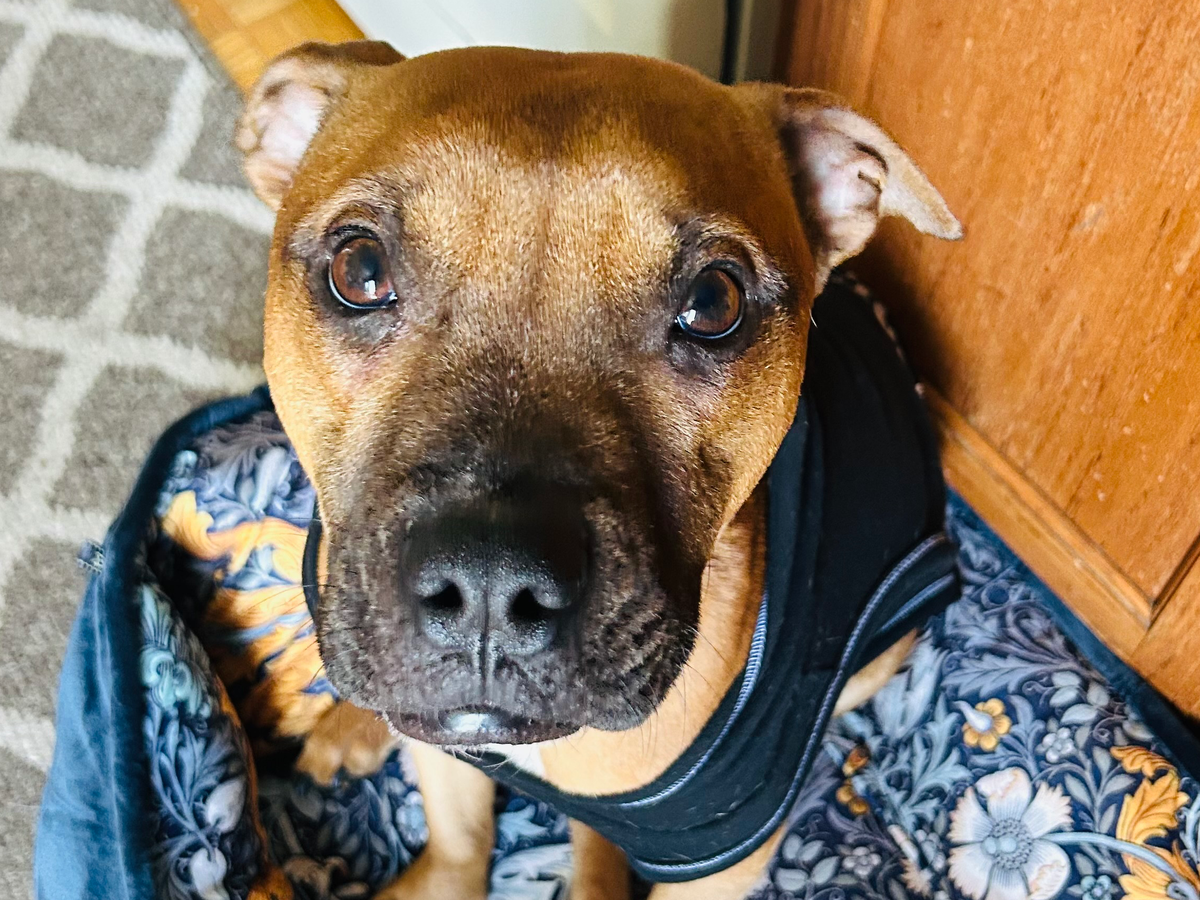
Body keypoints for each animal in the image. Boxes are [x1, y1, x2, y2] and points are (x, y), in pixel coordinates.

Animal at [235, 40, 961, 900]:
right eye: (360, 267)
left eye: (714, 302)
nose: (488, 581)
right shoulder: (444, 754)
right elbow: (458, 842)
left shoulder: (722, 856)